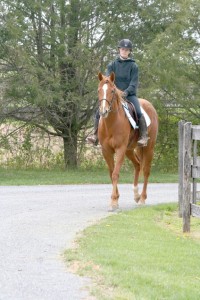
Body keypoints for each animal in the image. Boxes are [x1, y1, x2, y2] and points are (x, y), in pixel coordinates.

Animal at [97, 72, 159, 211]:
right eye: (99, 90)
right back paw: (136, 195)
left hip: (148, 148)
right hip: (129, 150)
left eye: (112, 91)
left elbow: (115, 174)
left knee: (146, 170)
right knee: (137, 165)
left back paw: (142, 198)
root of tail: (149, 104)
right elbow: (111, 173)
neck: (111, 123)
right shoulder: (106, 151)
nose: (103, 111)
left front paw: (113, 202)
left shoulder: (120, 149)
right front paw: (116, 199)